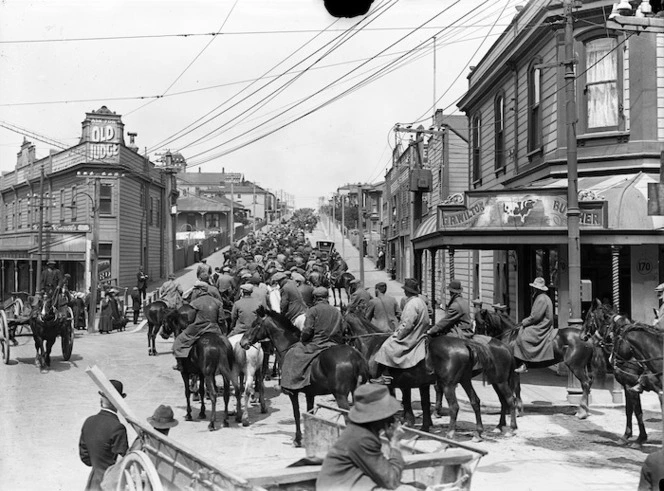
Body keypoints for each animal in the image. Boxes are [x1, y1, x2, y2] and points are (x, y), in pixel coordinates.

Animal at [241, 306, 370, 448]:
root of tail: (355, 357)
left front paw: (298, 439)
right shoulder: (310, 394)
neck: (288, 346)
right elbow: (310, 413)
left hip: (341, 396)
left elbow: (297, 414)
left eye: (256, 324)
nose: (242, 342)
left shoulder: (293, 393)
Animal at [342, 314, 520, 440]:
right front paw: (422, 425)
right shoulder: (418, 384)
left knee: (502, 401)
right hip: (475, 381)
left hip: (481, 382)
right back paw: (486, 430)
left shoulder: (392, 384)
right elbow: (422, 403)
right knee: (481, 401)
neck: (373, 343)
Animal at [474, 308, 604, 418]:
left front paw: (516, 410)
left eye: (480, 324)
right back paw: (585, 409)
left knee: (585, 383)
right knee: (588, 384)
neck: (511, 336)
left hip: (576, 367)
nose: (475, 341)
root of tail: (587, 338)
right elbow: (515, 387)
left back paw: (582, 412)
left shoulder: (514, 368)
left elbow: (515, 388)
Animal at [588, 302, 664, 448]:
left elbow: (636, 412)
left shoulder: (630, 387)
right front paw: (631, 437)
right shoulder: (628, 387)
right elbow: (631, 411)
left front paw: (638, 438)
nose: (585, 336)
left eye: (590, 317)